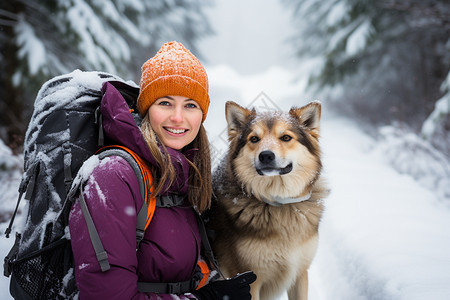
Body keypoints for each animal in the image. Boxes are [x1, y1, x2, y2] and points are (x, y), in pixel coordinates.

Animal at [208, 101, 330, 300]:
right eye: (254, 139)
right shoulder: (249, 282)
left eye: (286, 137)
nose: (266, 155)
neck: (278, 202)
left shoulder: (300, 273)